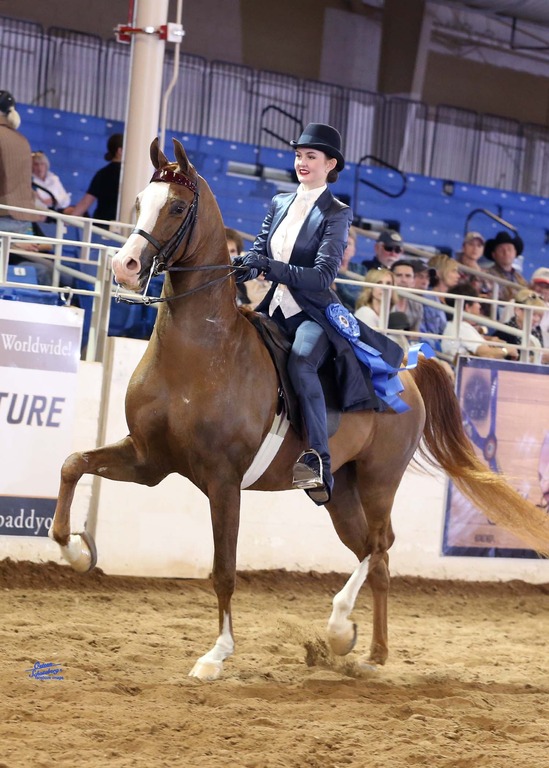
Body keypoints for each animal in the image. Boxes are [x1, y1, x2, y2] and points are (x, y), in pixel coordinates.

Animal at [50, 138, 549, 681]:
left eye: (177, 208)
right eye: (139, 201)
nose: (124, 266)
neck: (202, 351)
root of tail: (408, 372)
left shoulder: (223, 482)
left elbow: (223, 570)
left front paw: (215, 655)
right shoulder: (149, 461)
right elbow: (73, 464)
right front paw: (76, 551)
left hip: (379, 480)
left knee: (380, 545)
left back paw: (339, 627)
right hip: (341, 492)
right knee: (376, 557)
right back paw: (370, 652)